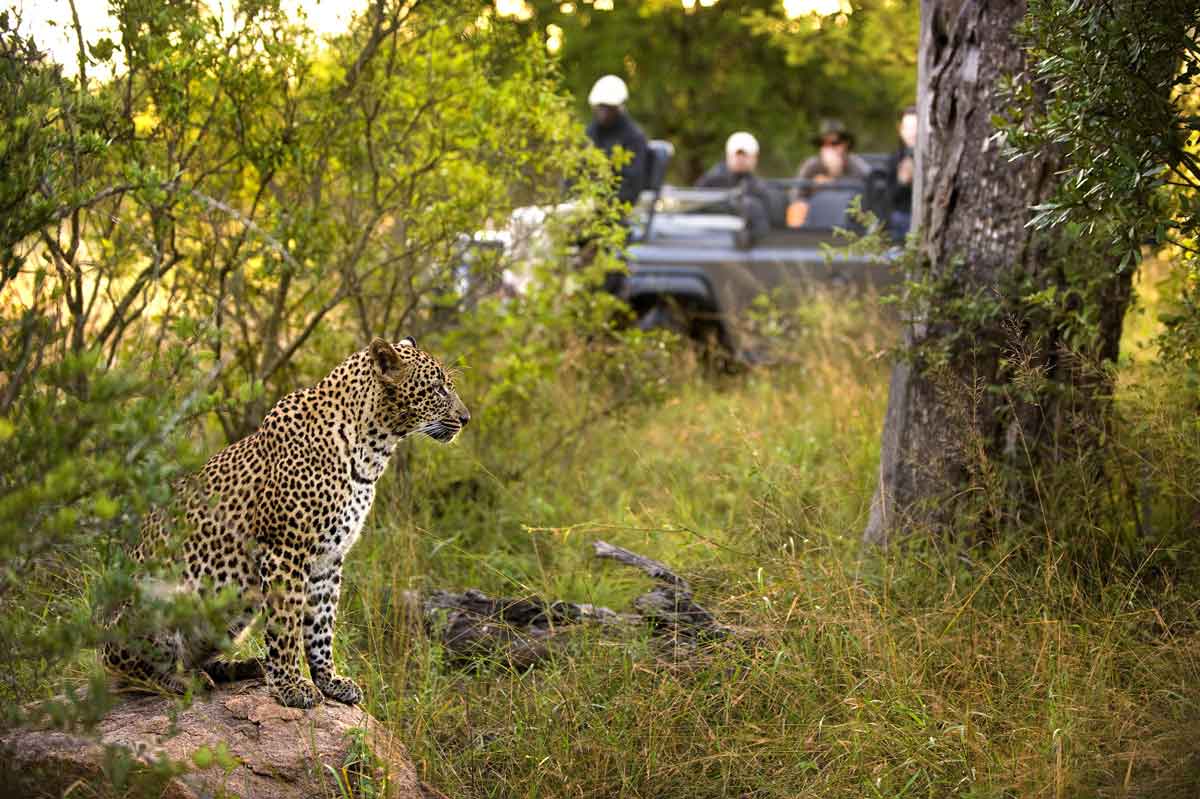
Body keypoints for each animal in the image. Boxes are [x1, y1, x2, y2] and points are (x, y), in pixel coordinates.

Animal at [103, 333, 468, 705]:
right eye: (438, 388)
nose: (466, 418)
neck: (372, 451)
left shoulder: (329, 559)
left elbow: (321, 625)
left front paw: (329, 681)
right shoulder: (285, 550)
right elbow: (287, 624)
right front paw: (292, 685)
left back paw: (243, 666)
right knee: (132, 672)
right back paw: (183, 681)